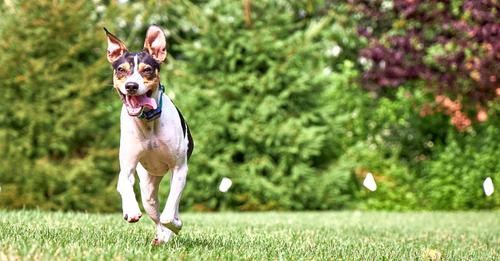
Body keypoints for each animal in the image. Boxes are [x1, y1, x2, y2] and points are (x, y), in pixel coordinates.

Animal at [104, 25, 193, 243]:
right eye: (121, 70)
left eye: (147, 70)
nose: (131, 86)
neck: (147, 121)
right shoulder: (127, 166)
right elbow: (123, 183)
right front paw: (130, 211)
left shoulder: (180, 169)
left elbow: (170, 215)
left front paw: (176, 224)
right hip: (147, 188)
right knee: (155, 212)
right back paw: (160, 236)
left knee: (168, 211)